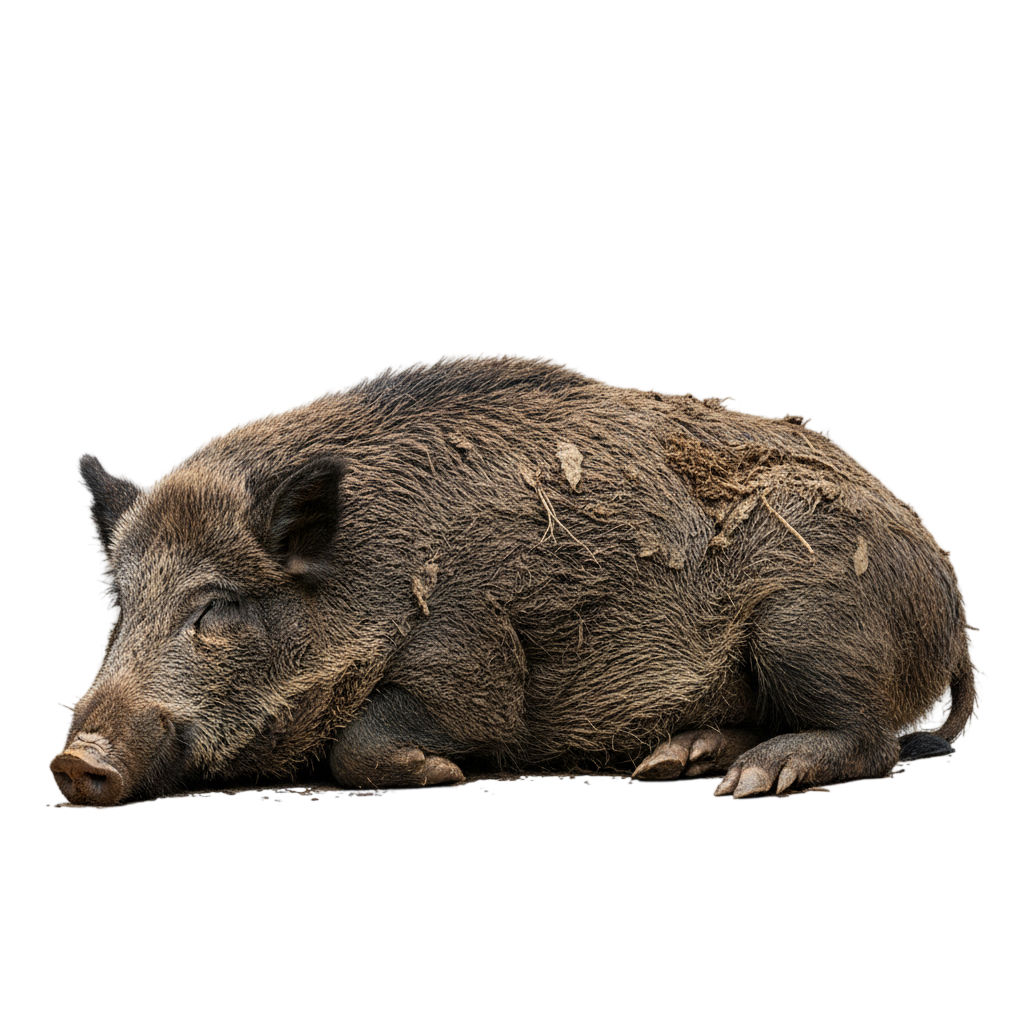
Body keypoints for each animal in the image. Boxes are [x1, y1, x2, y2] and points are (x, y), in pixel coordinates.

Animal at [51, 353, 981, 805]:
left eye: (217, 607)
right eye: (117, 606)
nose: (72, 761)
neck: (367, 579)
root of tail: (952, 605)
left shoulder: (473, 657)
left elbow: (379, 736)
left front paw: (442, 776)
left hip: (808, 625)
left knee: (869, 740)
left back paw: (749, 784)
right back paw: (672, 762)